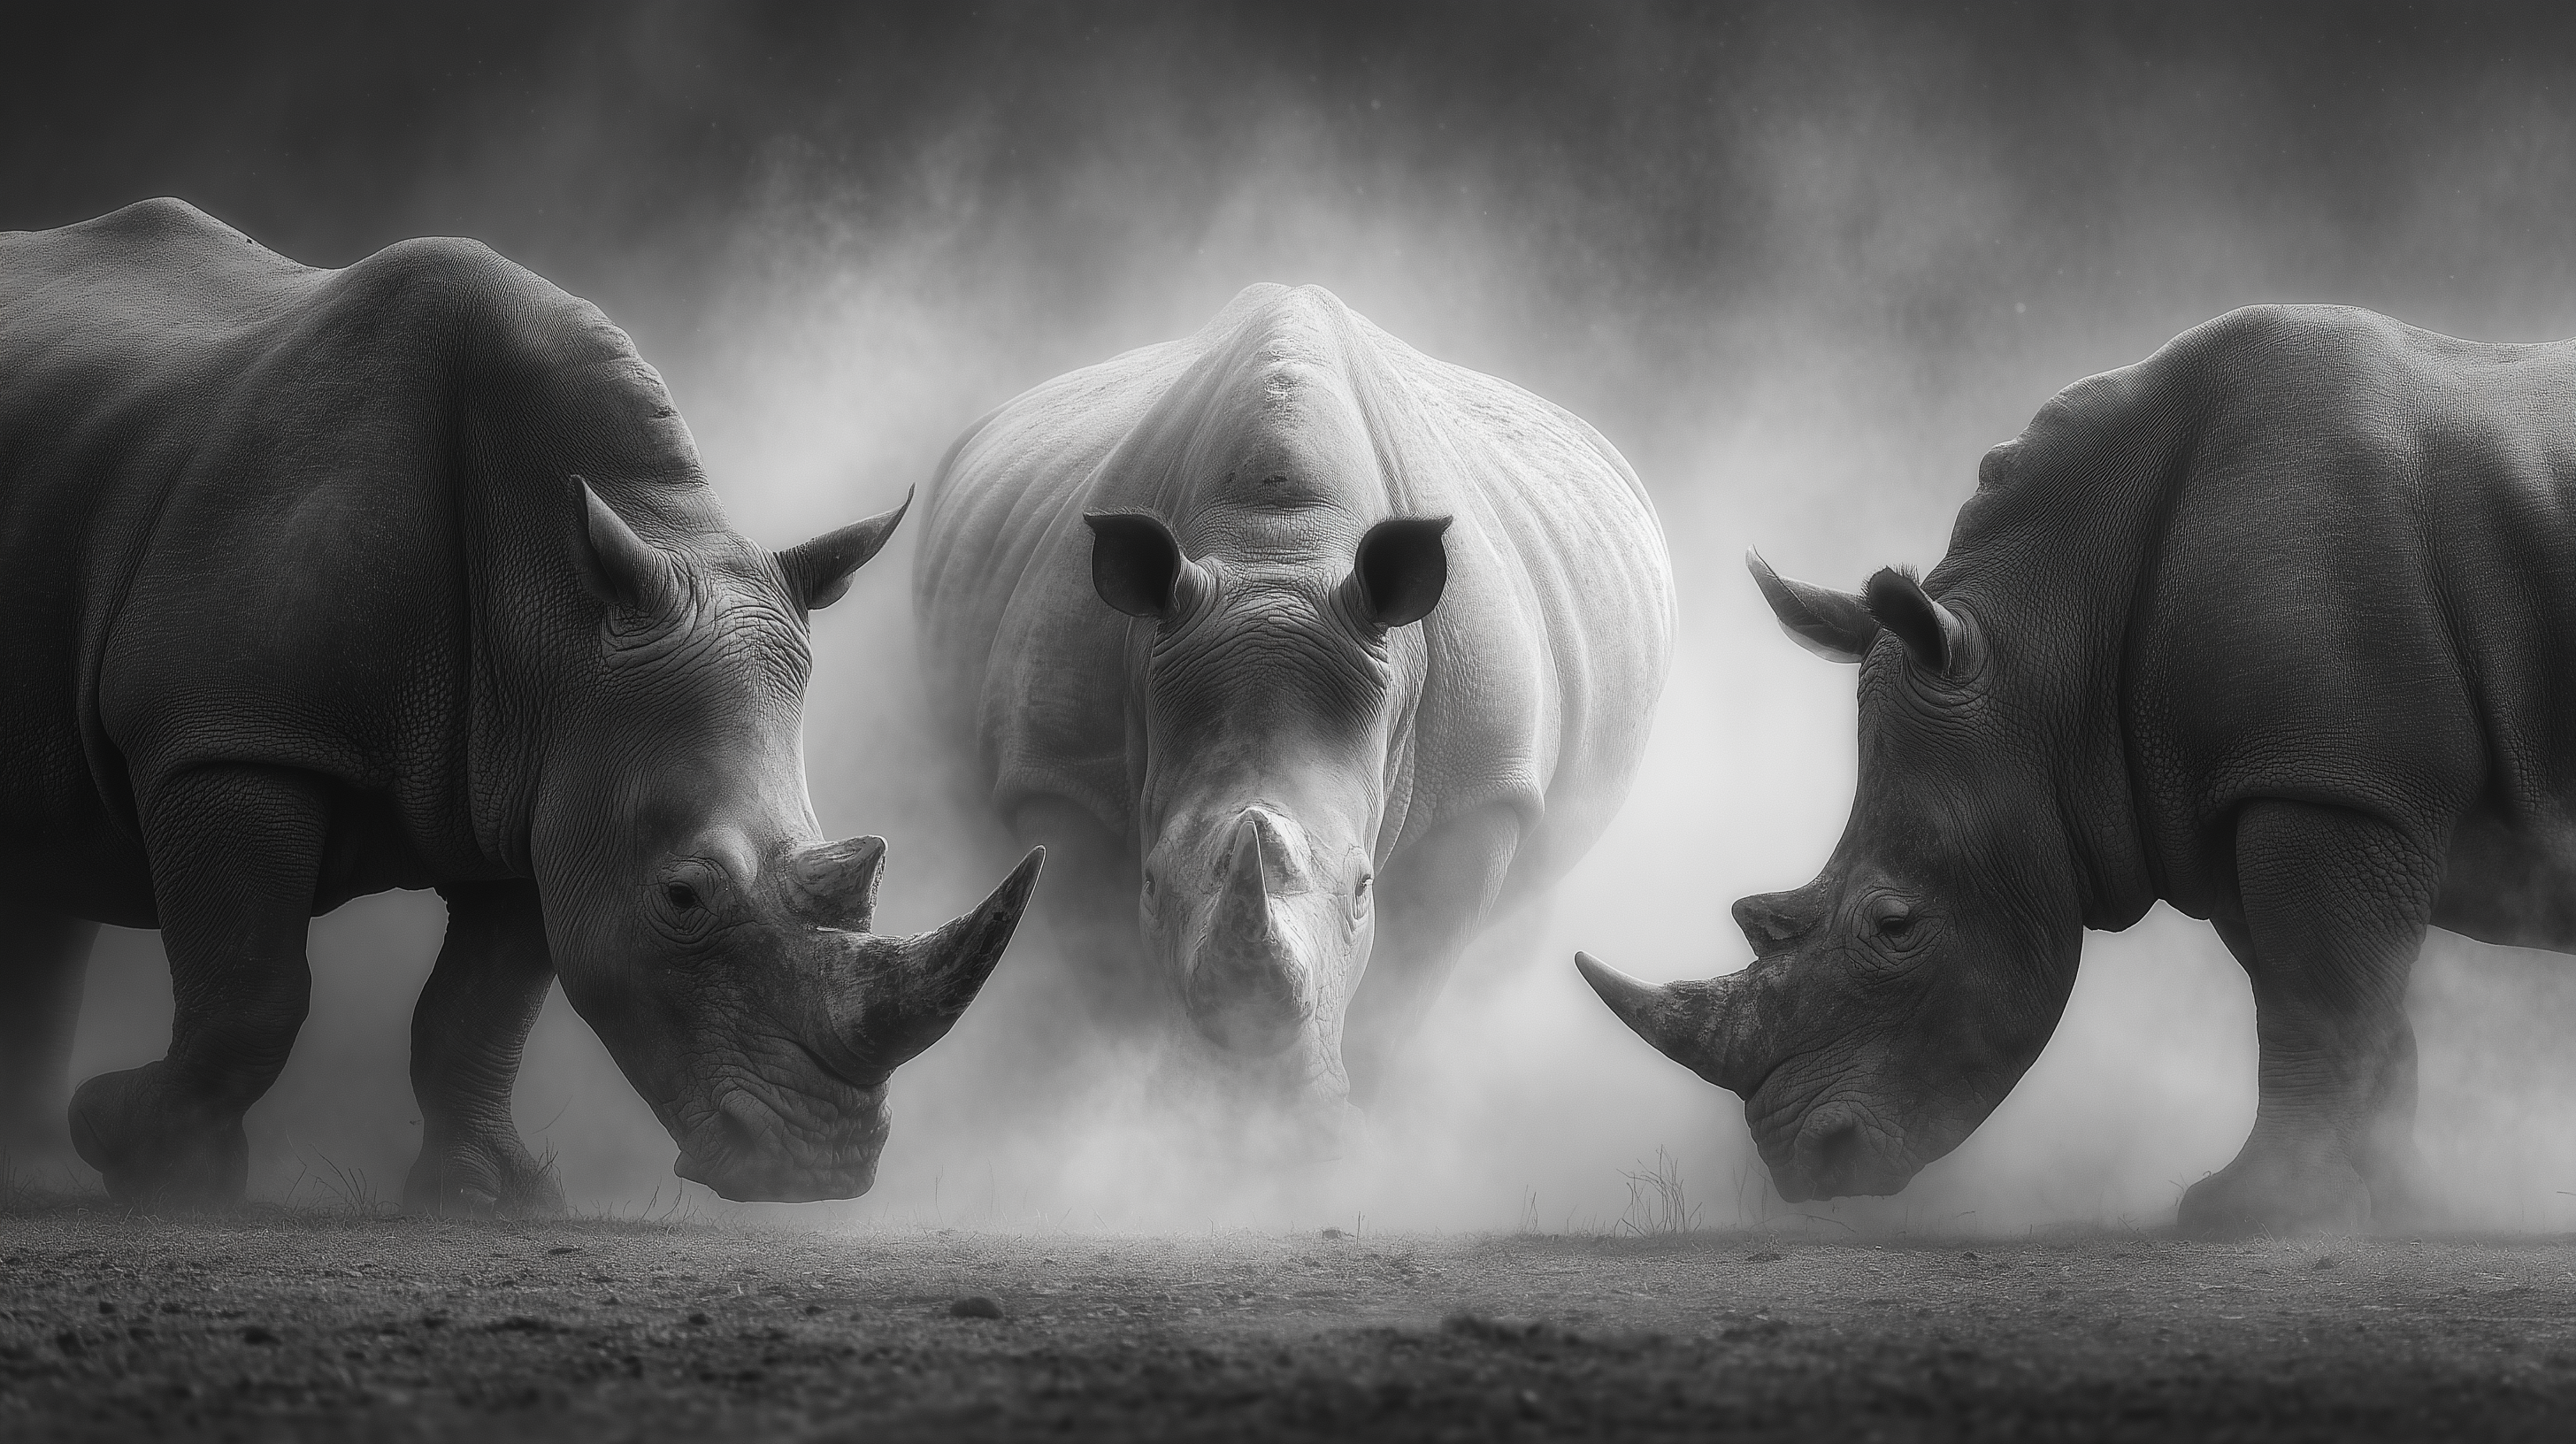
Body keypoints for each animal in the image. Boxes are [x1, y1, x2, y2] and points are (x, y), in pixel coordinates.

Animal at [0, 199, 1040, 1209]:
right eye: (682, 897)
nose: (818, 1173)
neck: (558, 602)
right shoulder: (229, 733)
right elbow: (252, 982)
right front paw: (155, 1166)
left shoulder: (546, 779)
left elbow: (478, 1011)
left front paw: (487, 1199)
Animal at [915, 284, 1672, 1145]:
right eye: (1149, 882)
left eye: (1365, 889)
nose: (1256, 1106)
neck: (1276, 552)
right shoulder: (1056, 774)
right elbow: (1106, 970)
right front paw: (1160, 1131)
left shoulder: (1484, 795)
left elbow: (1406, 982)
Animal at [1577, 303, 2576, 1234]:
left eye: (1896, 926)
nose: (1804, 1166)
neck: (2047, 651)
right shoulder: (2241, 790)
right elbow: (2327, 999)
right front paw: (2399, 1208)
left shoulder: (2330, 785)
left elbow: (2316, 990)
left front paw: (2254, 1216)